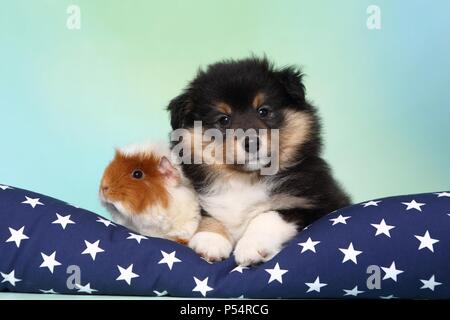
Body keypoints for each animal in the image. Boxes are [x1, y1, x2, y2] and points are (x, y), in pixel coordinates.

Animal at [167, 57, 350, 264]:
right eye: (223, 120)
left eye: (263, 111)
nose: (252, 143)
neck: (247, 179)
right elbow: (209, 215)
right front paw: (210, 240)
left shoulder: (315, 203)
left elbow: (267, 216)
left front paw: (251, 246)